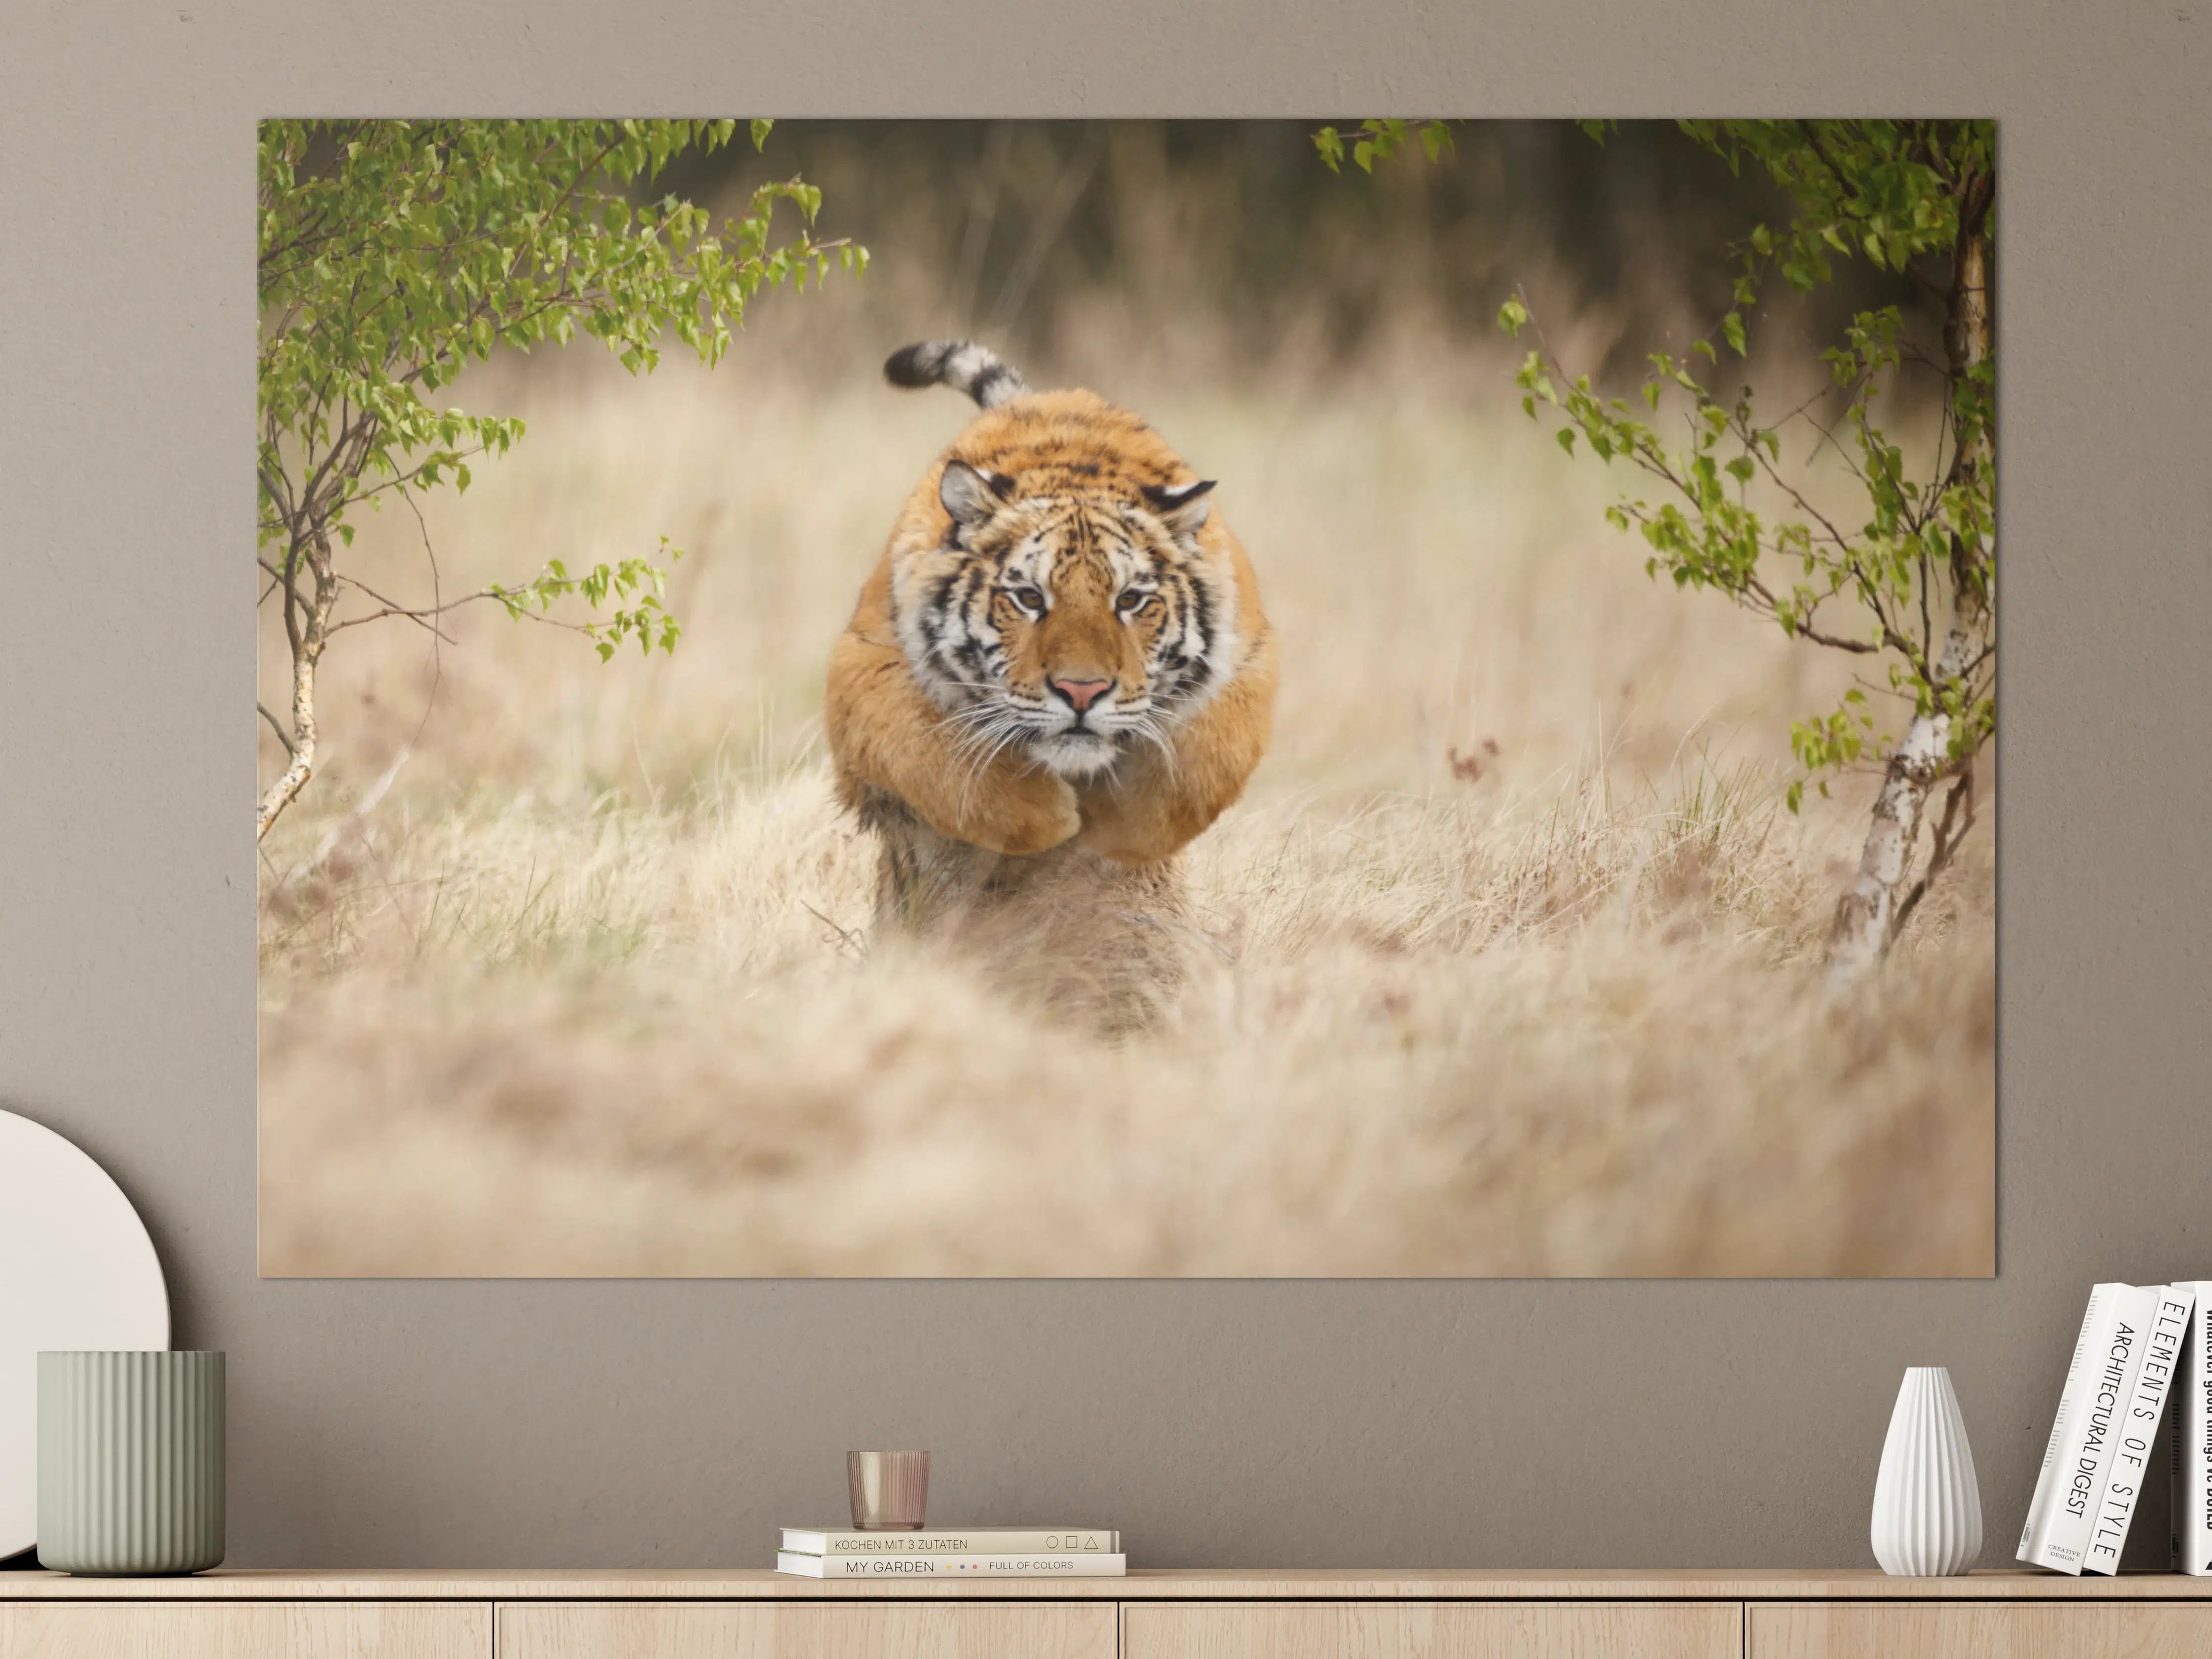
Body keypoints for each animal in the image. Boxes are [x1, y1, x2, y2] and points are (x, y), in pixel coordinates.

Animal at [825, 340, 1277, 928]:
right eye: (1029, 598)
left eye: (1129, 600)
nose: (1081, 693)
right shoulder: (866, 668)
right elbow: (932, 756)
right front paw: (1051, 818)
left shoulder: (1250, 659)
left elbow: (1204, 764)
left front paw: (1121, 832)